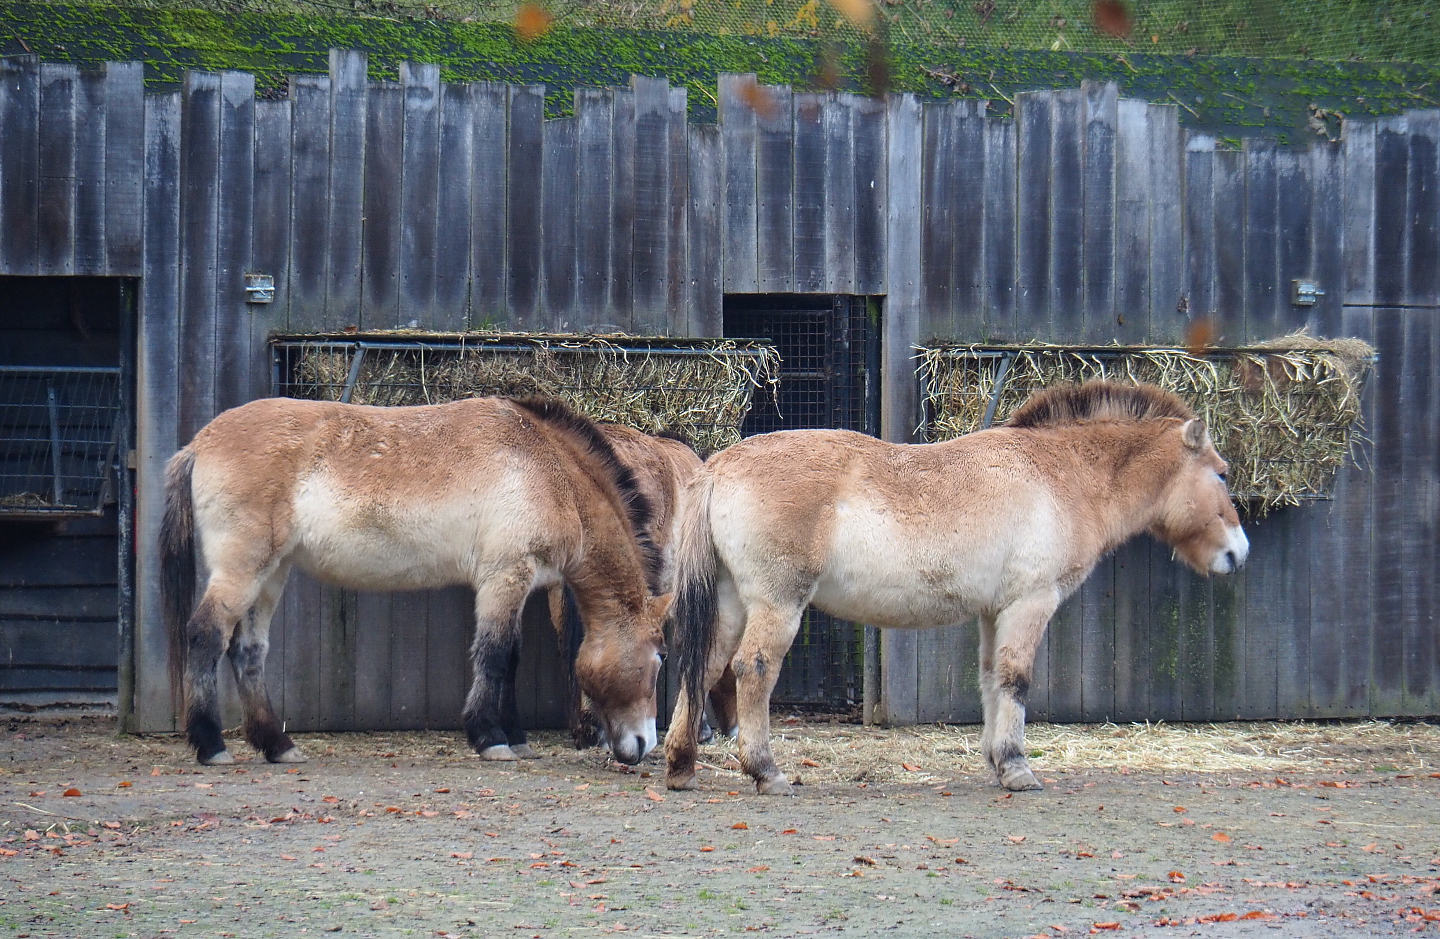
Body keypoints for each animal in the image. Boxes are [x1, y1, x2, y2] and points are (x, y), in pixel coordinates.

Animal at [161, 396, 672, 768]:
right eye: (660, 658)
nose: (643, 745)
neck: (546, 469)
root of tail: (200, 443)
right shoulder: (504, 575)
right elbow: (495, 654)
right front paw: (490, 738)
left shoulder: (517, 584)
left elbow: (511, 656)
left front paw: (515, 737)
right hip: (243, 568)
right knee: (206, 635)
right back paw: (211, 745)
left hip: (272, 572)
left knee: (247, 651)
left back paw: (276, 745)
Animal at [663, 380, 1249, 795]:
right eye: (1221, 474)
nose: (1237, 554)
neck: (1060, 475)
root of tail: (722, 464)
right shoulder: (1030, 604)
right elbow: (1016, 680)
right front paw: (1016, 767)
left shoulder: (995, 612)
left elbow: (991, 679)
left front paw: (997, 760)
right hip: (778, 604)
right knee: (752, 669)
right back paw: (766, 771)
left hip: (733, 604)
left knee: (704, 666)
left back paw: (681, 765)